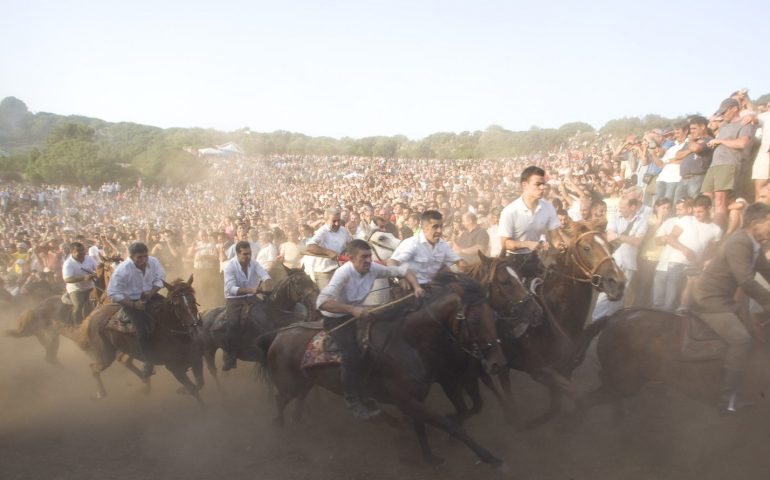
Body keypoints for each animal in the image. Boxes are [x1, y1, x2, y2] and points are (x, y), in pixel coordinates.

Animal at [80, 276, 204, 404]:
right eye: (176, 305)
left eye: (193, 300)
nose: (195, 329)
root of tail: (91, 317)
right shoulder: (174, 368)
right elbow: (193, 389)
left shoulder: (197, 359)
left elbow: (199, 384)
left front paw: (183, 390)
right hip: (105, 356)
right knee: (94, 368)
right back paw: (101, 393)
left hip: (127, 350)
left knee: (124, 361)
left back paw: (145, 384)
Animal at [266, 272, 510, 470]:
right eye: (475, 319)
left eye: (493, 315)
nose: (498, 363)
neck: (408, 342)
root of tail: (280, 334)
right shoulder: (410, 398)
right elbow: (452, 426)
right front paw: (491, 458)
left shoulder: (418, 397)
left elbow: (423, 427)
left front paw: (430, 458)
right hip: (288, 384)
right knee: (279, 400)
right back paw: (280, 428)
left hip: (306, 381)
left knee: (299, 399)